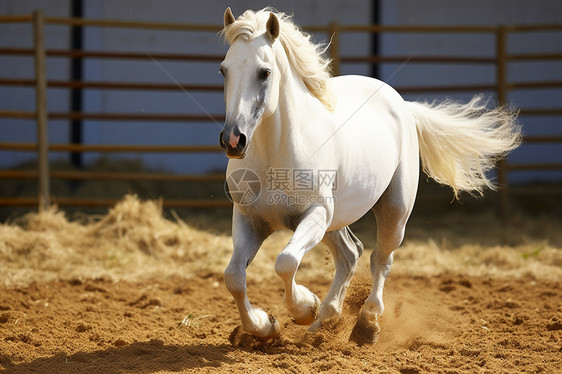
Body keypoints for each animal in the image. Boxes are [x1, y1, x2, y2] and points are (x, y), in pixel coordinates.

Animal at [217, 7, 520, 344]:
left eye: (265, 72)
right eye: (224, 70)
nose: (233, 140)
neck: (276, 155)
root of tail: (403, 106)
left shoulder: (315, 214)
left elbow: (286, 263)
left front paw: (304, 307)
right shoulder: (250, 219)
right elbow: (233, 277)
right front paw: (264, 325)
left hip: (393, 211)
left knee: (380, 259)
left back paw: (366, 322)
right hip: (335, 221)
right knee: (350, 255)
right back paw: (325, 321)